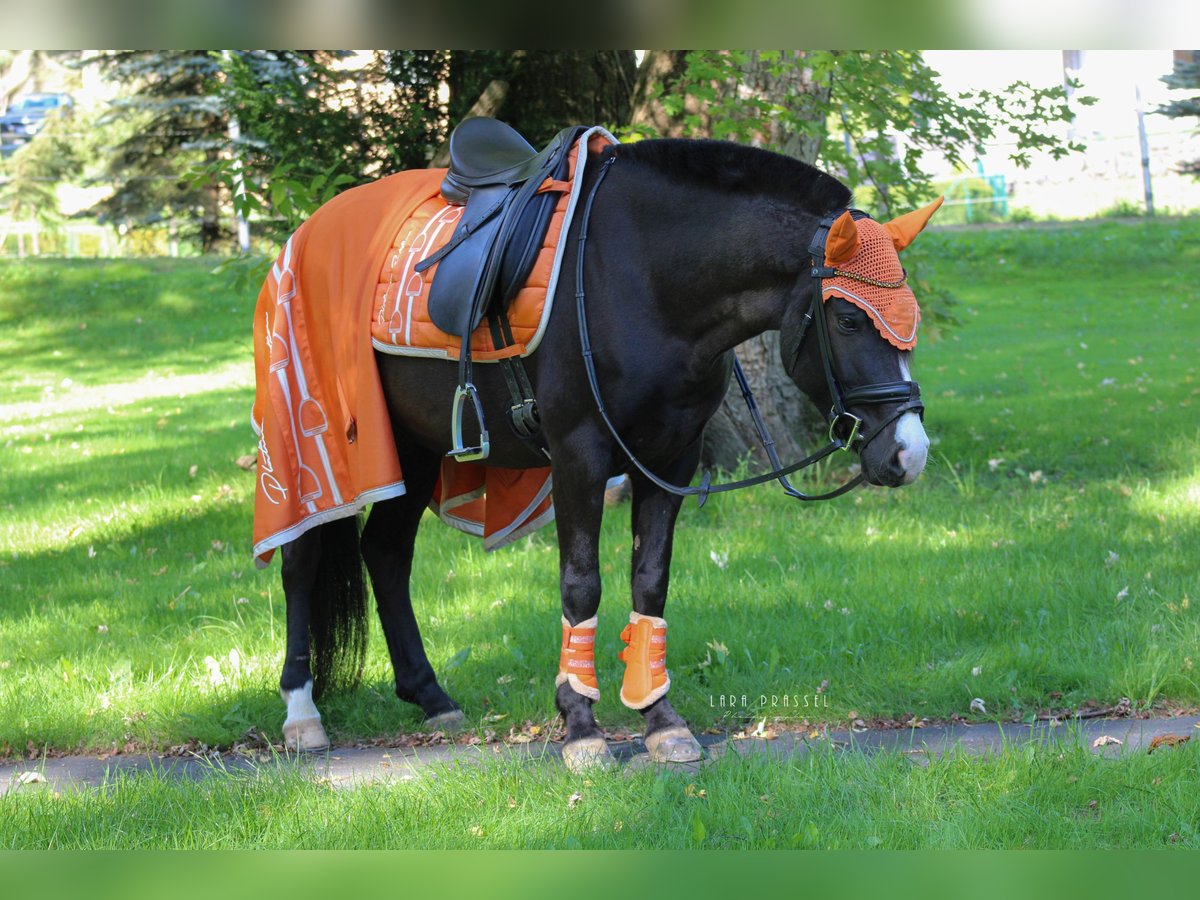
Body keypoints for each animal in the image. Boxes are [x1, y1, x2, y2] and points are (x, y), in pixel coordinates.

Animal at [265, 136, 936, 770]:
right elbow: (581, 585)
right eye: (848, 321)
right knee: (301, 561)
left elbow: (650, 581)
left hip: (414, 445)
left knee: (385, 552)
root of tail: (305, 231)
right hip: (317, 454)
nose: (910, 453)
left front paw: (661, 721)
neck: (646, 278)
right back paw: (301, 713)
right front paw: (581, 728)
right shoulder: (578, 456)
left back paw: (429, 695)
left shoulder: (671, 461)